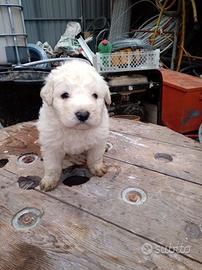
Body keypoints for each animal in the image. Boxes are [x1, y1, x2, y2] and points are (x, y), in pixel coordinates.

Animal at [37, 59, 111, 190]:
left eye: (95, 95)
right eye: (64, 95)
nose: (83, 114)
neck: (76, 130)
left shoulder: (98, 140)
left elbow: (95, 157)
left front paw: (97, 168)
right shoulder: (51, 146)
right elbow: (52, 166)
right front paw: (49, 180)